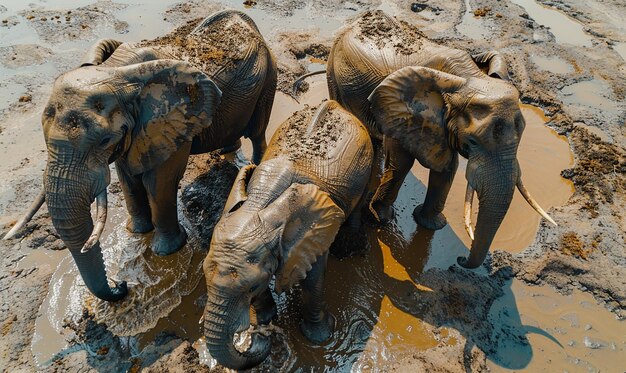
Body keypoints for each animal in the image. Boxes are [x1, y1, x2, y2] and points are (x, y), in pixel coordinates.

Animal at [2, 10, 276, 300]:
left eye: (104, 140)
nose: (122, 284)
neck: (116, 71)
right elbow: (127, 177)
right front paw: (136, 232)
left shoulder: (170, 120)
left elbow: (159, 182)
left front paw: (166, 250)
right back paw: (226, 151)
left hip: (269, 76)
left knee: (258, 131)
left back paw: (256, 164)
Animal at [202, 99, 372, 370]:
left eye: (251, 287)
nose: (259, 337)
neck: (259, 203)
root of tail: (334, 103)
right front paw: (263, 319)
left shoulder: (314, 231)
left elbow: (313, 278)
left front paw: (321, 337)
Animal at [324, 10, 552, 268]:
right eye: (473, 142)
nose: (460, 259)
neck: (467, 77)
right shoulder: (402, 112)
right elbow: (402, 163)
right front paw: (379, 219)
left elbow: (448, 166)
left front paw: (430, 224)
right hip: (333, 71)